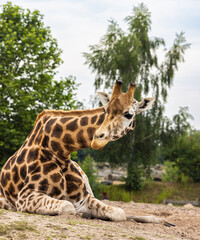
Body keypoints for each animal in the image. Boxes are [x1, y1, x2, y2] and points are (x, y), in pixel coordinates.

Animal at [0, 80, 156, 221]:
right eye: (105, 110)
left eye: (129, 114)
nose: (97, 139)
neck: (60, 149)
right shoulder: (26, 196)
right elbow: (67, 207)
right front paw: (82, 214)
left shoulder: (83, 198)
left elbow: (119, 213)